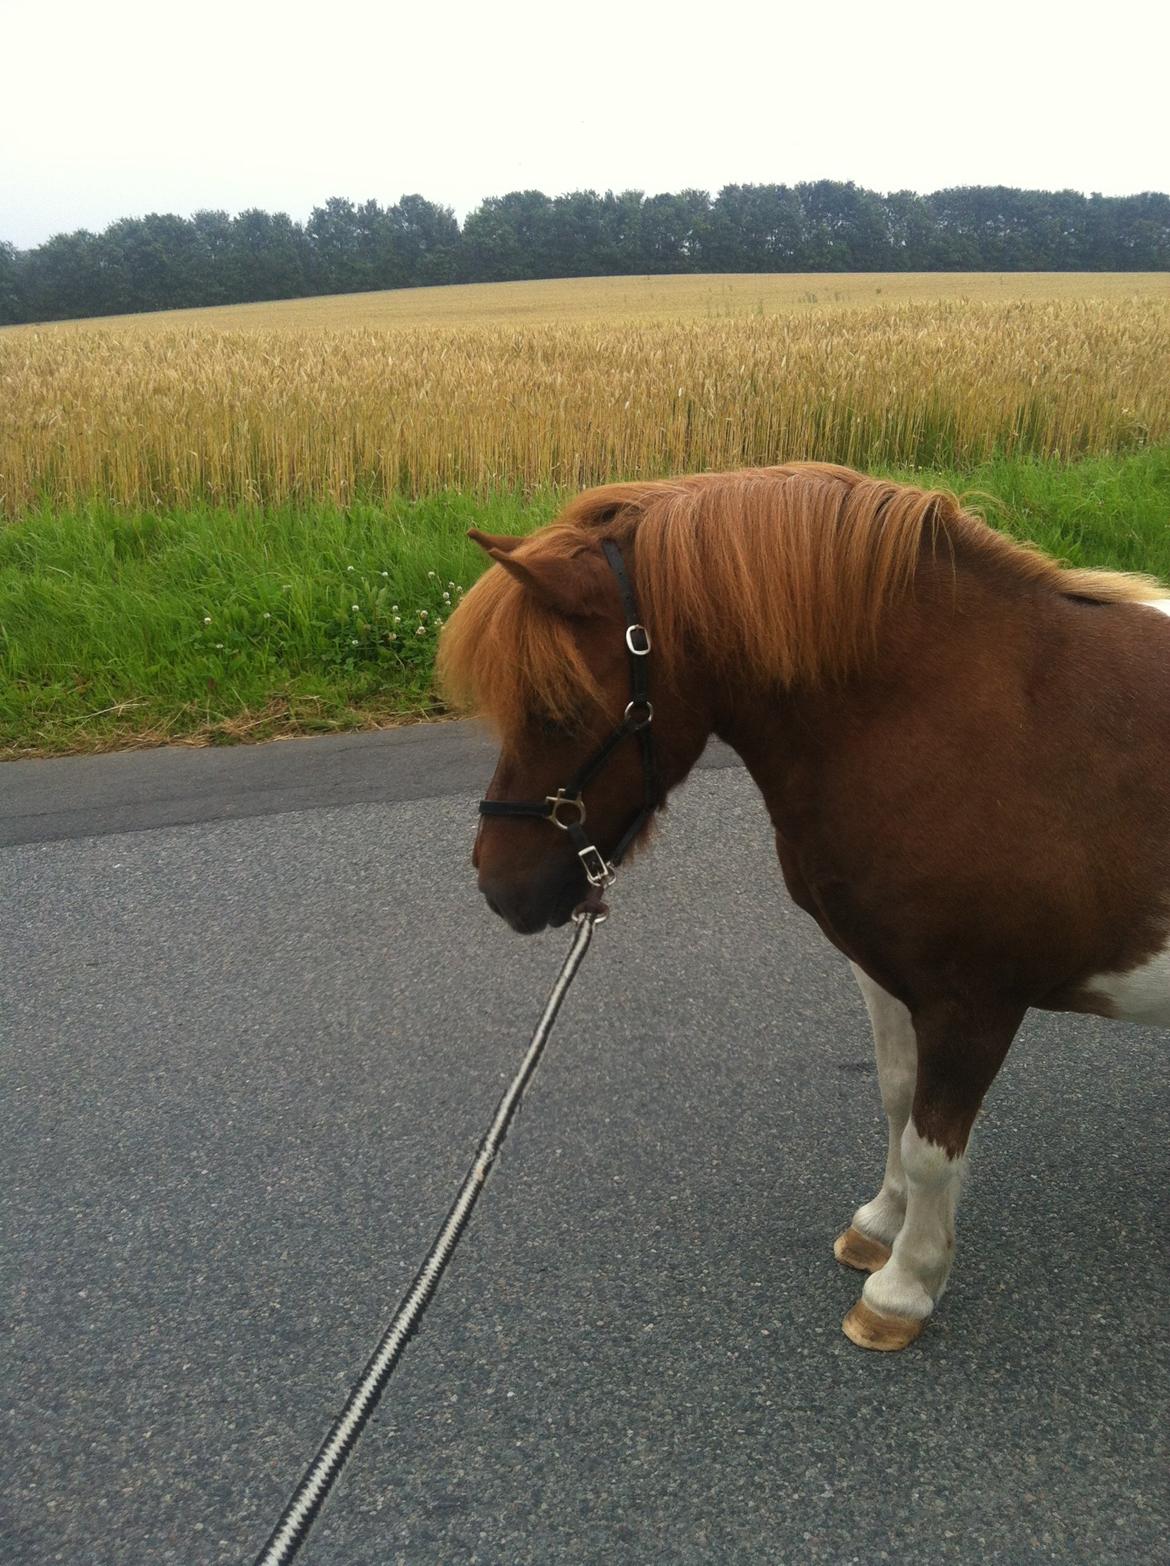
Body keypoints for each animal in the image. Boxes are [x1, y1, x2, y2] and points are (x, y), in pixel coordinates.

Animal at [438, 460, 1170, 1346]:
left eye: (557, 707)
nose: (497, 887)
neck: (960, 719)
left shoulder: (976, 1002)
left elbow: (933, 1144)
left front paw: (904, 1289)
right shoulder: (886, 971)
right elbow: (897, 1097)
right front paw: (880, 1226)